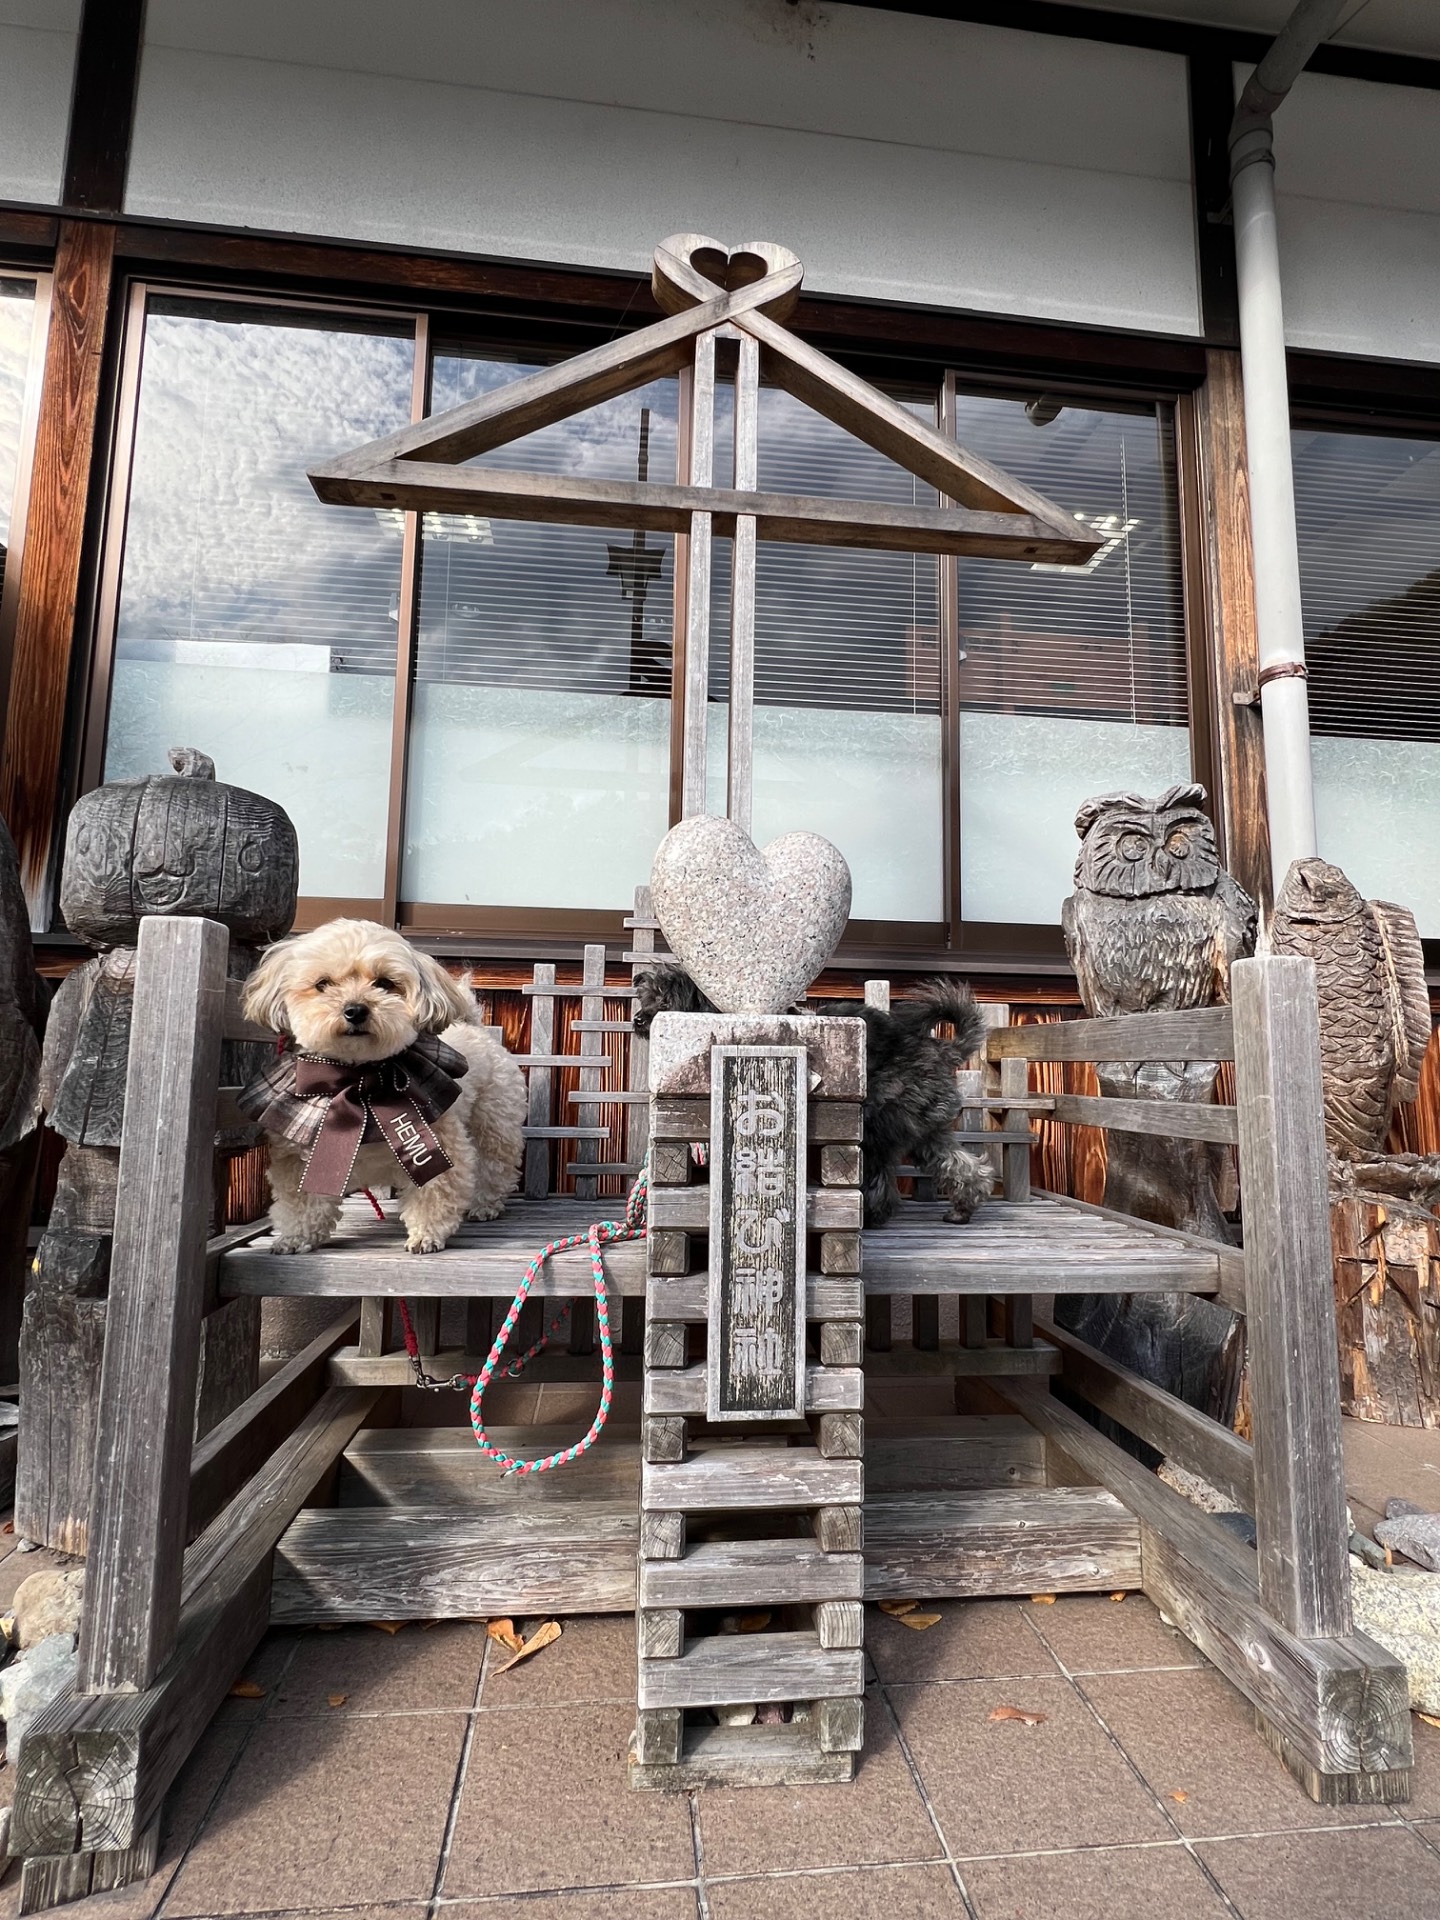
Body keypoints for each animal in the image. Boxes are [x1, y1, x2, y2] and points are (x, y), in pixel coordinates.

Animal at [241, 919, 527, 1255]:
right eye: (323, 984)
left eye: (385, 983)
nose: (355, 1010)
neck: (357, 1079)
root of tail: (474, 1026)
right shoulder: (296, 1159)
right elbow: (300, 1201)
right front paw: (295, 1238)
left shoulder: (436, 1142)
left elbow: (435, 1191)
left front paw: (426, 1235)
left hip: (494, 1124)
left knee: (495, 1166)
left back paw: (485, 1205)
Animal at [632, 969, 993, 1226]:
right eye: (646, 999)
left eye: (665, 1001)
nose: (638, 1019)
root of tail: (940, 1049)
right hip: (924, 1127)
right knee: (961, 1164)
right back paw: (962, 1210)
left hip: (879, 1122)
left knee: (881, 1175)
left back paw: (874, 1215)